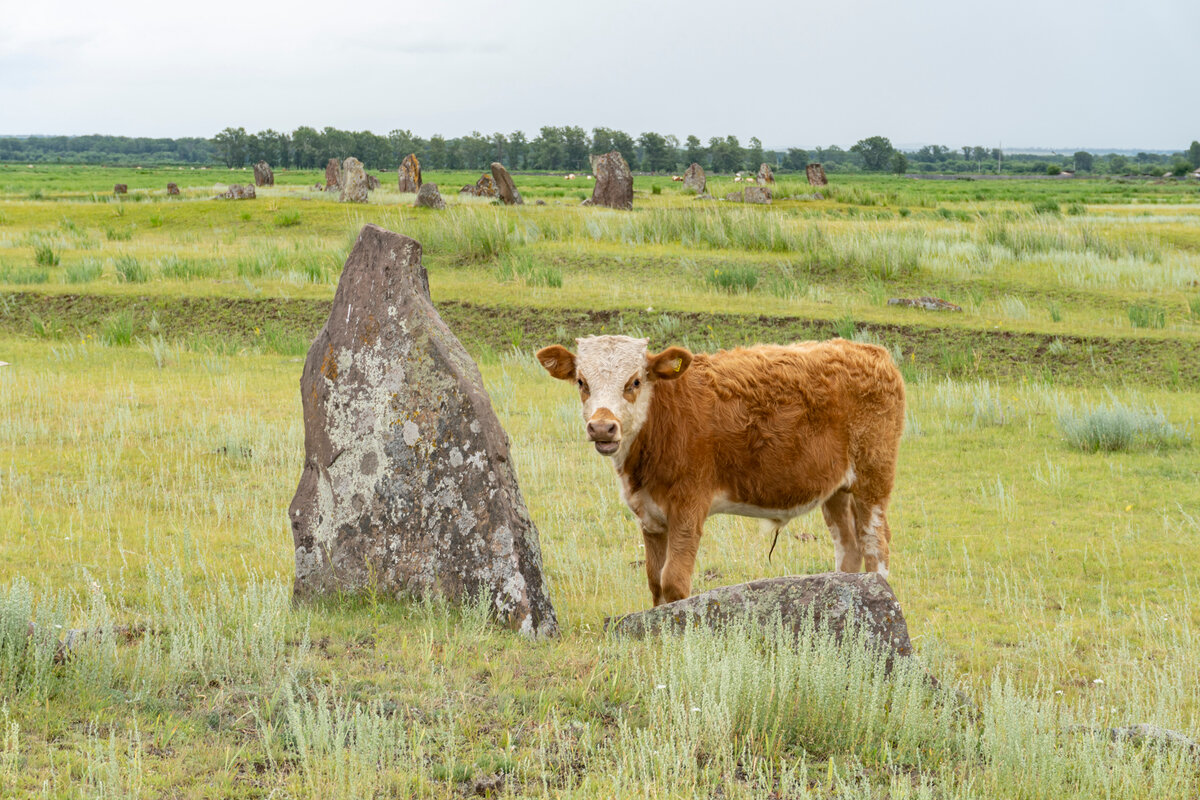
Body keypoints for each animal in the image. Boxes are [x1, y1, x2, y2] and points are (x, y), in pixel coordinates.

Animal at [540, 335, 902, 606]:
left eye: (635, 381)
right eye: (581, 382)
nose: (602, 427)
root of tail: (870, 351)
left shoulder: (688, 507)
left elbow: (673, 580)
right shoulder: (650, 515)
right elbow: (655, 581)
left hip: (873, 479)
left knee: (875, 544)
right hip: (837, 490)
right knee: (849, 547)